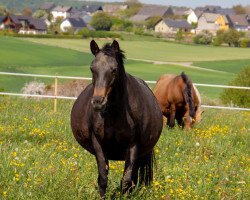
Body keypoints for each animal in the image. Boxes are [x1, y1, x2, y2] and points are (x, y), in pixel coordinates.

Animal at [71, 39, 163, 198]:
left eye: (114, 69)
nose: (98, 102)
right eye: (92, 69)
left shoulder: (133, 146)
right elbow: (102, 178)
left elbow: (126, 180)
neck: (115, 114)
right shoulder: (98, 144)